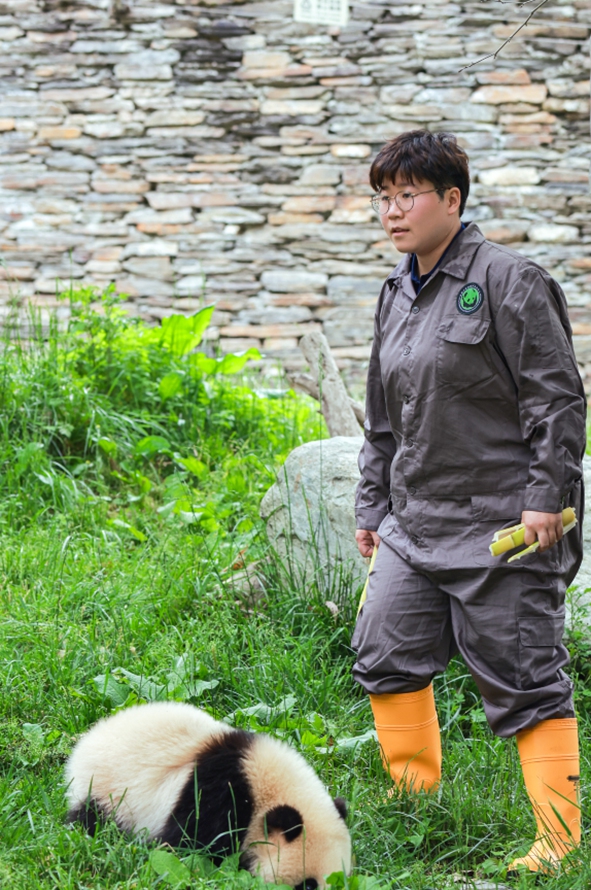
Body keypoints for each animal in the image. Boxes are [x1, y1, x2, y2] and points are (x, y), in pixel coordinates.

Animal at [66, 700, 352, 888]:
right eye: (308, 885)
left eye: (343, 881)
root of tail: (86, 741)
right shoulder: (218, 793)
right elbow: (187, 843)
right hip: (106, 791)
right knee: (92, 820)